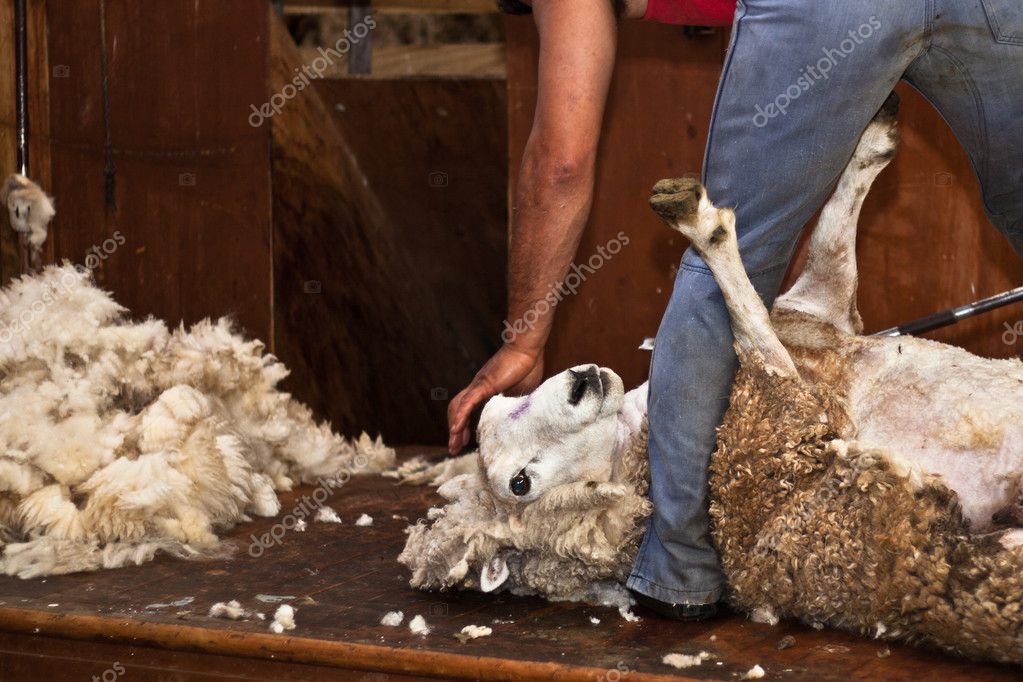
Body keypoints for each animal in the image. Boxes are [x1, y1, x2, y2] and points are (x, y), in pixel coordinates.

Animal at [396, 93, 1023, 662]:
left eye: (495, 408)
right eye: (520, 484)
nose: (580, 384)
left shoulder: (822, 307)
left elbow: (833, 234)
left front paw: (877, 132)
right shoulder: (792, 408)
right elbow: (748, 315)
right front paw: (702, 222)